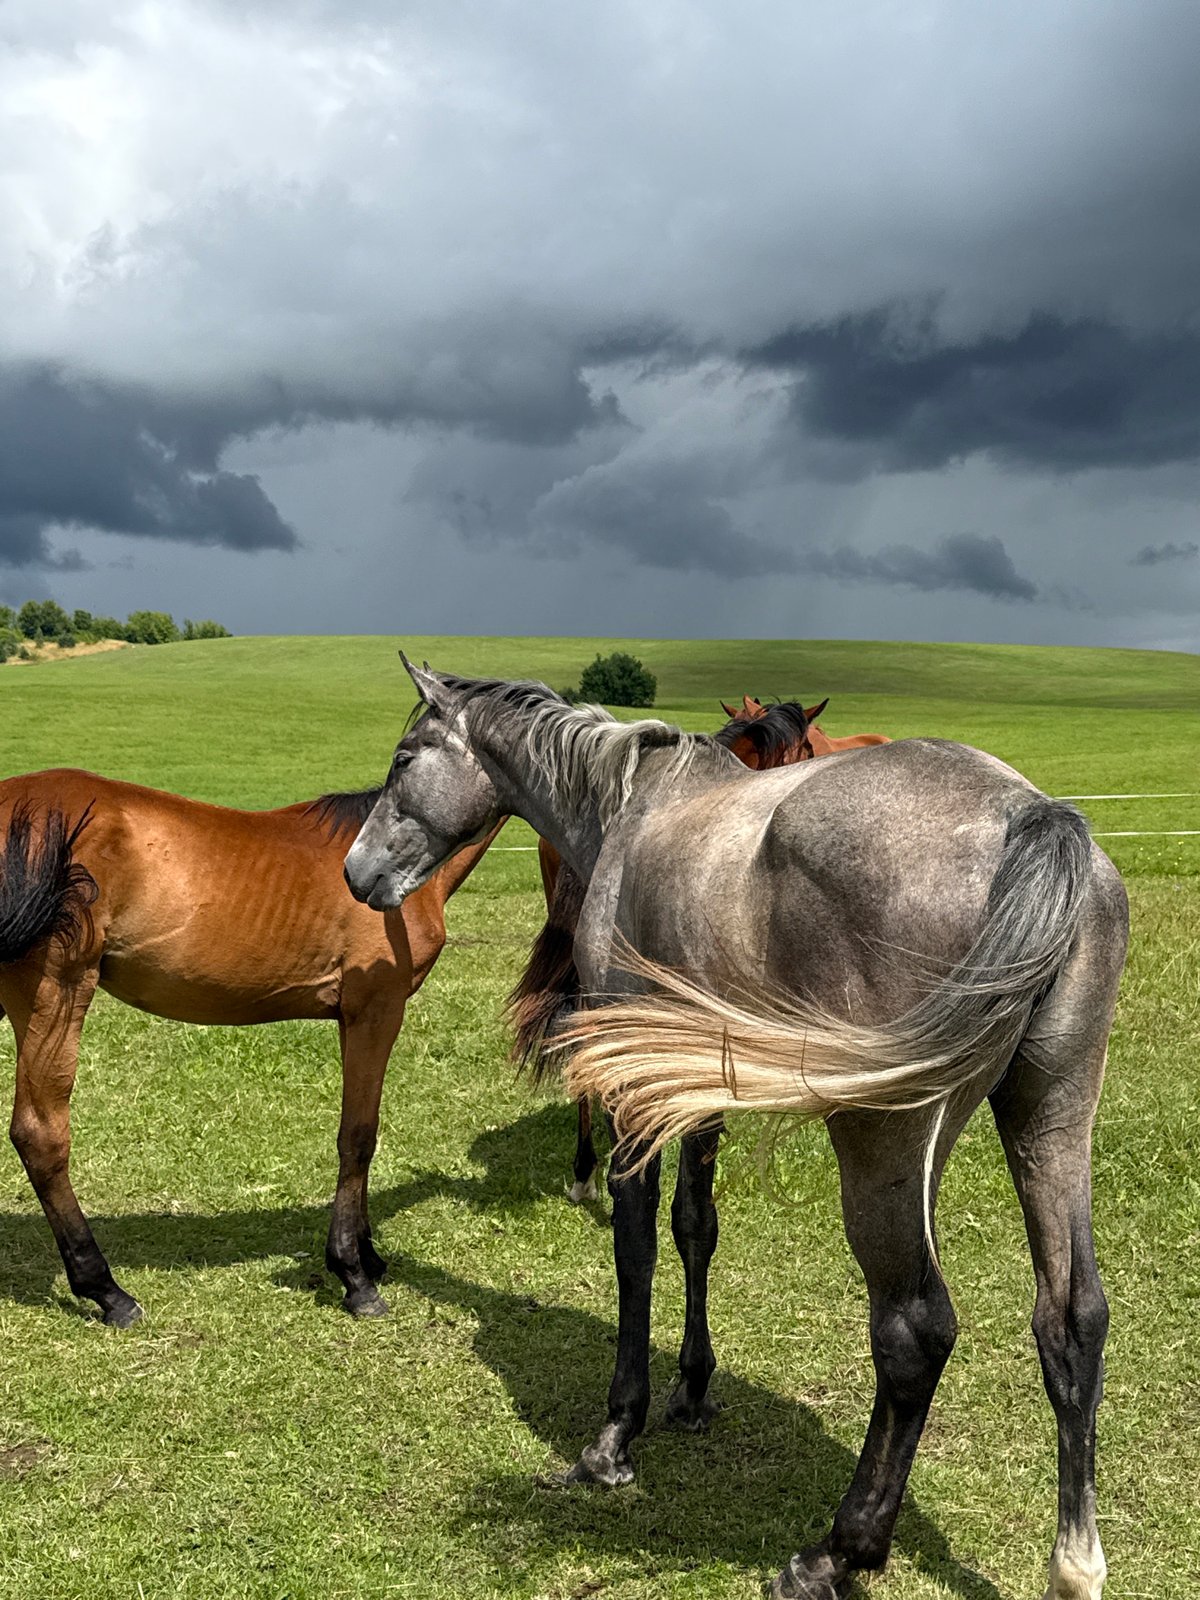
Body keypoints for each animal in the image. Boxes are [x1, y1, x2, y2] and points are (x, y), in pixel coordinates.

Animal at [0, 768, 502, 1325]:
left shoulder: (355, 1019)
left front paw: (367, 1254)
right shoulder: (376, 1011)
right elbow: (358, 1137)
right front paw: (354, 1275)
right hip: (55, 991)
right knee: (41, 1136)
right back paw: (108, 1291)